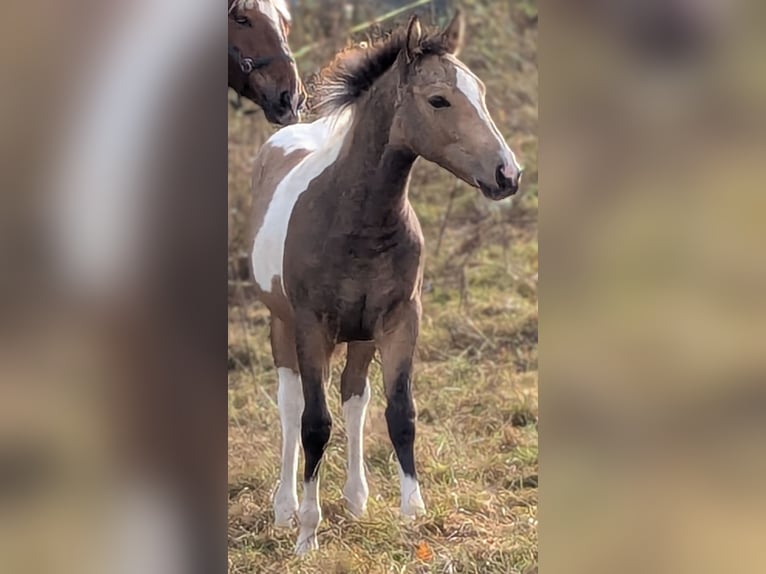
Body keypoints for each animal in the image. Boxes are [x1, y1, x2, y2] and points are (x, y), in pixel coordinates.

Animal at [248, 11, 522, 553]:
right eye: (438, 99)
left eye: (479, 91)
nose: (508, 174)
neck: (357, 220)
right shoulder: (312, 326)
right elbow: (314, 423)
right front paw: (308, 533)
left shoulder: (399, 320)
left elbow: (400, 413)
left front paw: (413, 515)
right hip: (281, 324)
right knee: (291, 406)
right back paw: (285, 508)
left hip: (360, 336)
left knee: (355, 398)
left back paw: (356, 501)